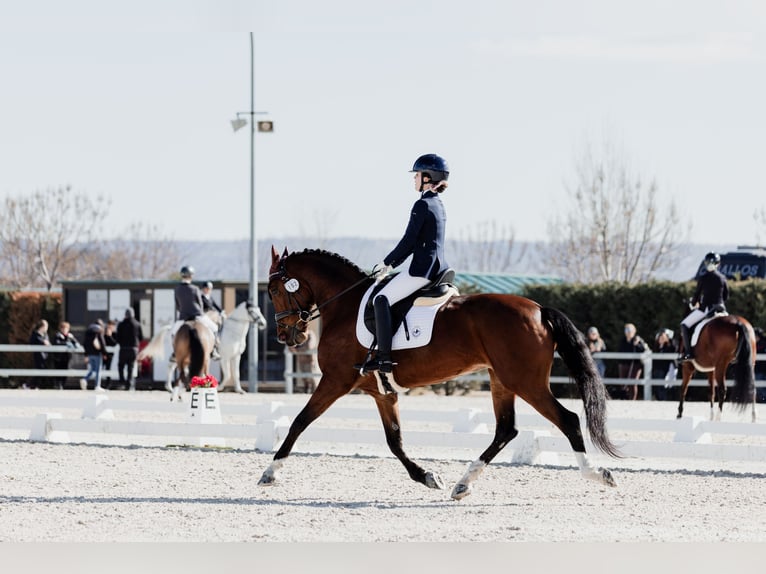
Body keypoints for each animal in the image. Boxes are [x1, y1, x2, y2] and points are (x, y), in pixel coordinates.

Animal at [259, 247, 620, 500]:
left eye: (273, 290)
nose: (287, 336)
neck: (345, 308)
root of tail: (539, 310)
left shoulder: (336, 380)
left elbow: (299, 422)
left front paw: (270, 473)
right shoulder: (381, 391)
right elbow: (394, 441)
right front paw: (427, 477)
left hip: (526, 382)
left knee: (567, 419)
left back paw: (597, 474)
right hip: (502, 380)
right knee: (506, 430)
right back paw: (462, 484)